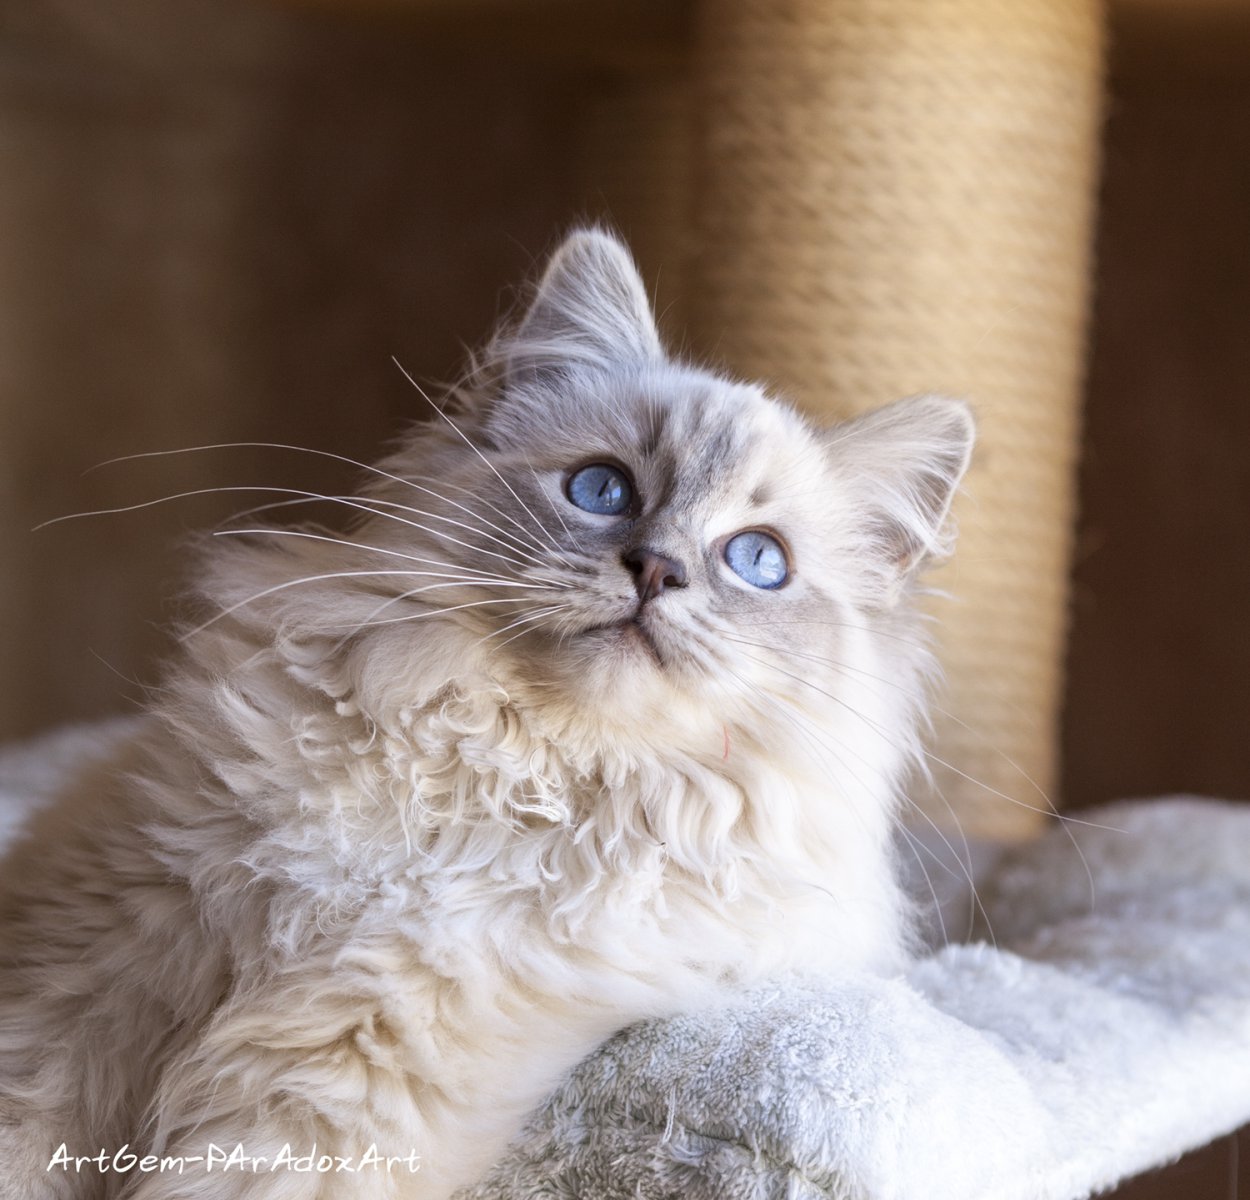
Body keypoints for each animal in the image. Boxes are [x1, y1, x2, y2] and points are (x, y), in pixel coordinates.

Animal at [0, 230, 975, 1195]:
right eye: (602, 490)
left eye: (758, 562)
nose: (657, 569)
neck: (507, 762)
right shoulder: (103, 954)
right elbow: (29, 1127)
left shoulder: (353, 1055)